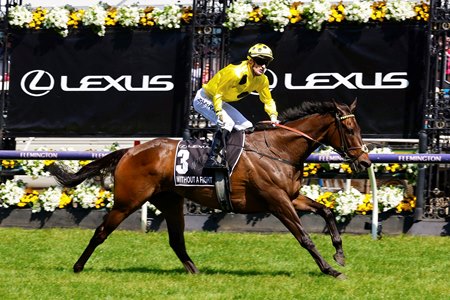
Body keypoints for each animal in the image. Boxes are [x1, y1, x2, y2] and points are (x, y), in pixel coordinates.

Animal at [50, 99, 372, 278]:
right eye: (350, 130)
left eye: (358, 129)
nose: (364, 161)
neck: (278, 149)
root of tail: (129, 151)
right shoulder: (277, 201)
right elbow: (304, 237)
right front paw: (330, 270)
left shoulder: (290, 197)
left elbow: (327, 211)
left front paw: (339, 255)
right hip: (127, 201)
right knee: (101, 231)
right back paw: (78, 267)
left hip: (170, 201)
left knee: (176, 241)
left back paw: (196, 272)